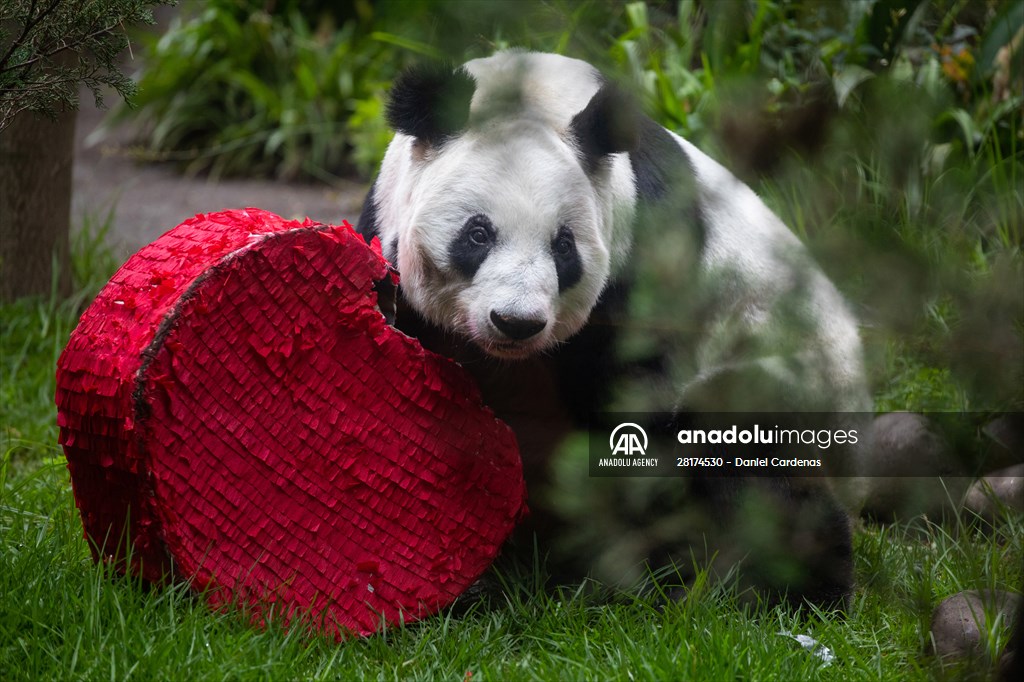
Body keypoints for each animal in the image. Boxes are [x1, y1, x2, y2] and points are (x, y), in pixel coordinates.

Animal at [356, 50, 868, 606]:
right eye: (478, 234)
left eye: (563, 247)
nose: (516, 322)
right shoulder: (386, 232)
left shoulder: (643, 256)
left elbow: (629, 406)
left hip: (791, 376)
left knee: (745, 456)